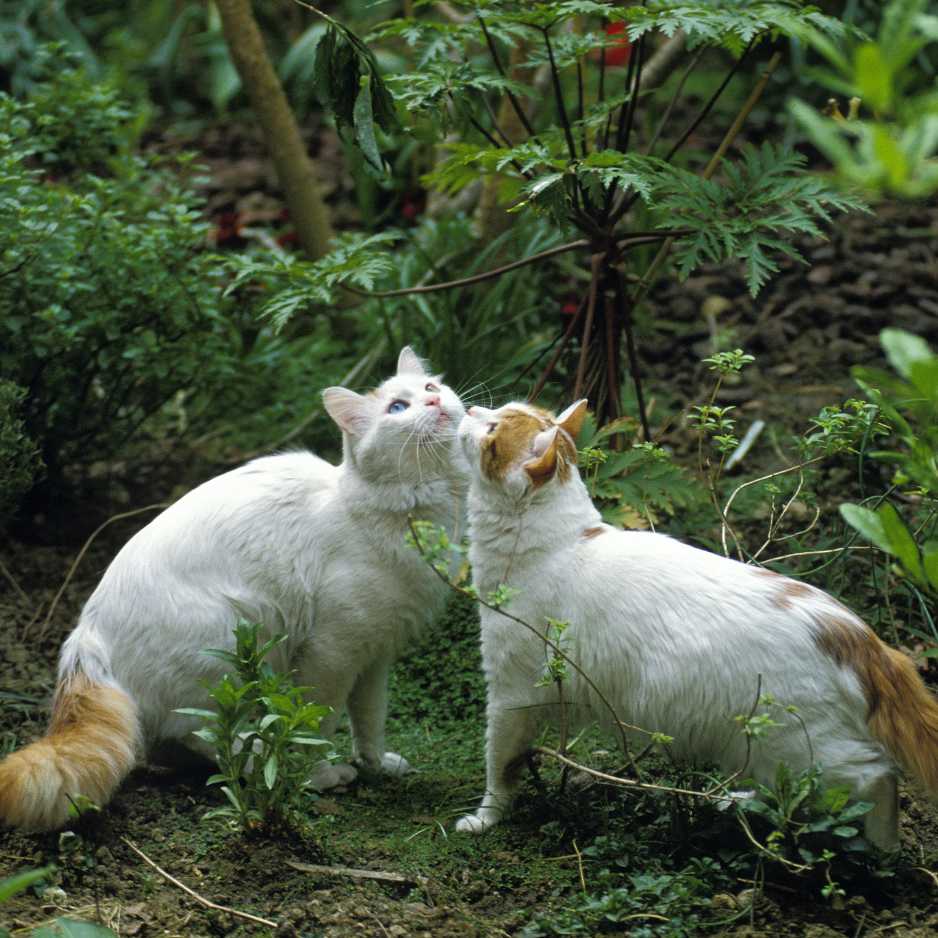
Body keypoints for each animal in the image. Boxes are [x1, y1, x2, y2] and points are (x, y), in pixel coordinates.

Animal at [0, 350, 468, 828]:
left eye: (430, 388)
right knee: (206, 733)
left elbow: (370, 722)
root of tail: (86, 633)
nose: (434, 403)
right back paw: (266, 764)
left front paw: (376, 766)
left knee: (169, 744)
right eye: (397, 408)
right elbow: (315, 723)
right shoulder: (333, 654)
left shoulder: (375, 655)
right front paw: (314, 774)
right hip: (232, 646)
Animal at [452, 396, 936, 848]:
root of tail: (861, 636)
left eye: (493, 427)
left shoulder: (510, 694)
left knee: (878, 776)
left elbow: (499, 766)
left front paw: (486, 818)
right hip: (763, 749)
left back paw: (883, 851)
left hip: (805, 749)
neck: (561, 541)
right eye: (498, 409)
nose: (471, 408)